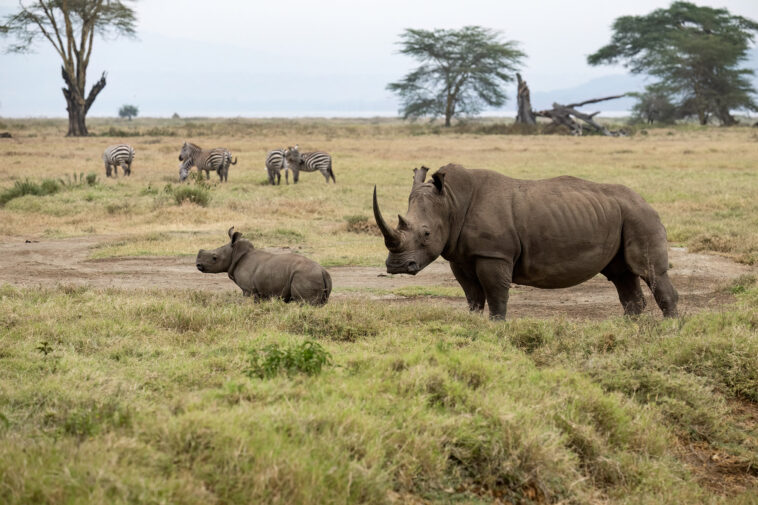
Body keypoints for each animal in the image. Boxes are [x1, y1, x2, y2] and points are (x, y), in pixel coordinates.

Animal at [196, 227, 332, 305]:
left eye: (214, 258)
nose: (198, 265)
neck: (234, 253)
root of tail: (323, 272)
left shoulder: (249, 290)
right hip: (315, 277)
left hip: (305, 276)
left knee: (305, 303)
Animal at [373, 164, 678, 320]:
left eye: (426, 234)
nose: (397, 267)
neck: (451, 202)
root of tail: (645, 201)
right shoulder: (460, 255)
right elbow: (472, 295)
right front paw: (473, 323)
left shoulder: (494, 254)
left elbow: (496, 294)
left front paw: (496, 326)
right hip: (621, 215)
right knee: (622, 275)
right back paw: (630, 328)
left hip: (640, 216)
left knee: (650, 272)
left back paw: (670, 329)